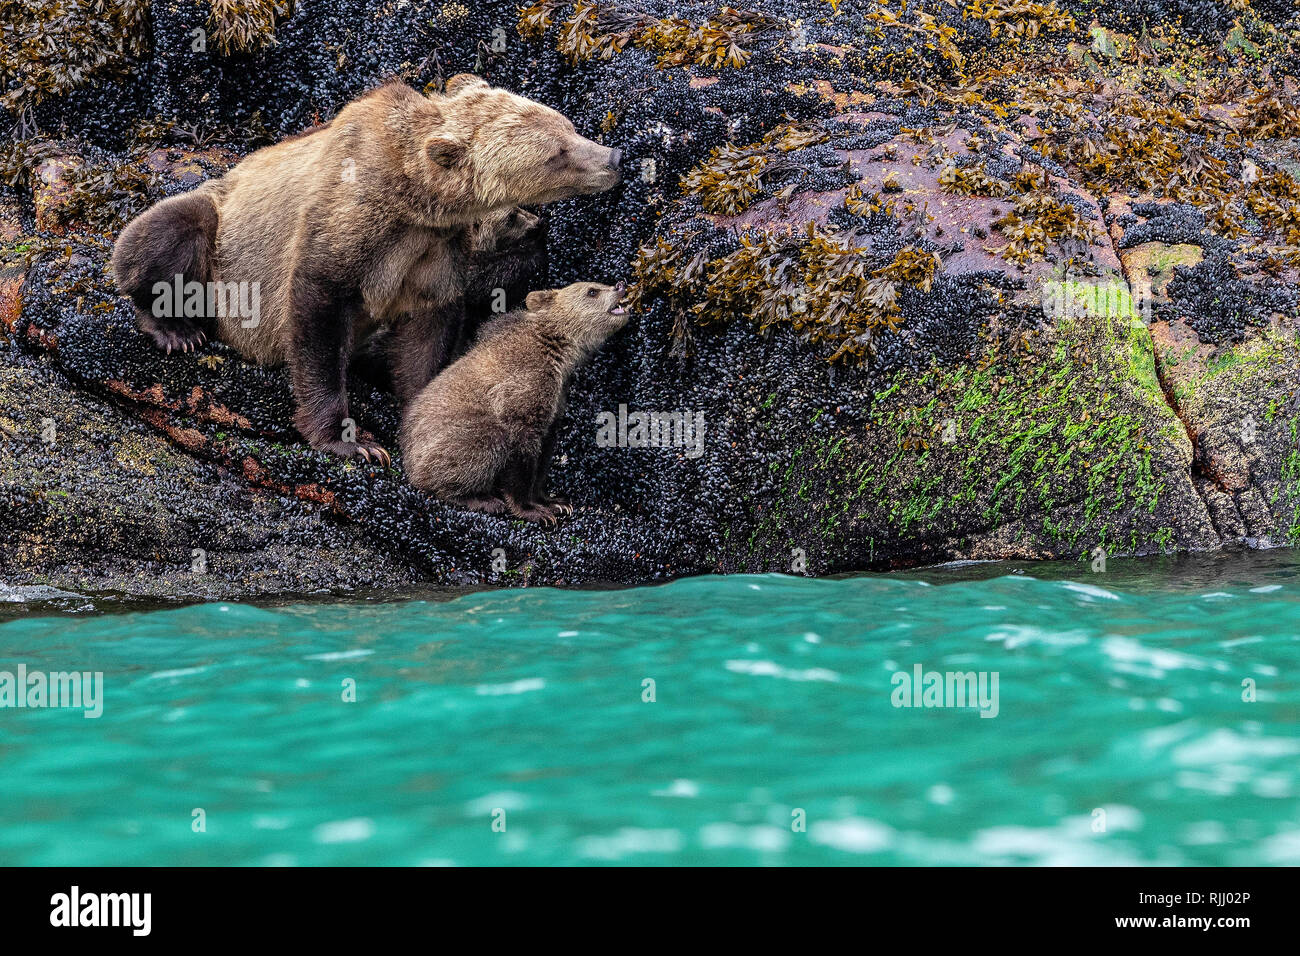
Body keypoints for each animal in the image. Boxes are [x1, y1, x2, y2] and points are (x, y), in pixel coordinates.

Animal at [111, 75, 621, 463]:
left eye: (569, 125)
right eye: (555, 152)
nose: (614, 157)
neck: (416, 202)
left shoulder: (432, 251)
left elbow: (427, 332)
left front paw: (421, 408)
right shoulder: (348, 218)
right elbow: (319, 306)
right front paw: (352, 441)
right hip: (222, 233)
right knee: (170, 228)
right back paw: (175, 329)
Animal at [400, 280, 628, 525]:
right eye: (592, 291)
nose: (620, 285)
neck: (559, 350)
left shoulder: (555, 400)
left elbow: (545, 453)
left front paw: (554, 502)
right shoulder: (521, 393)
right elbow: (520, 453)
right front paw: (532, 509)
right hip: (444, 441)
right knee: (480, 443)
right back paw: (480, 498)